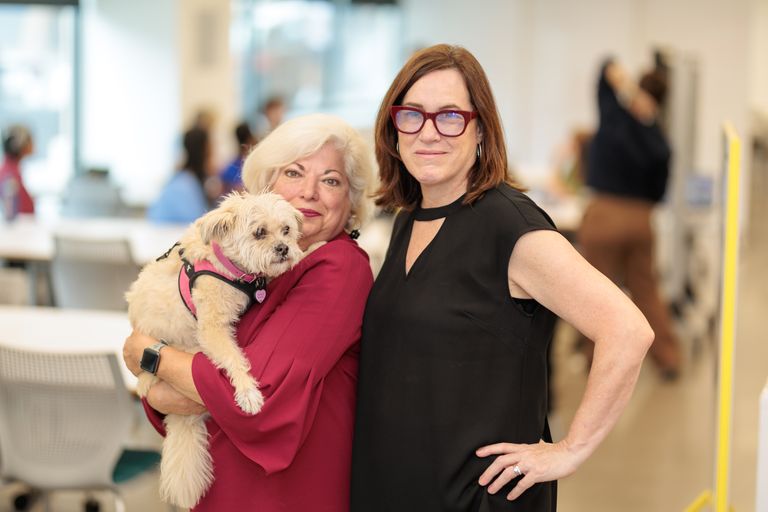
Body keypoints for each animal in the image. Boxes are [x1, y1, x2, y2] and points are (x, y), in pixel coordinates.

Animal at [126, 191, 304, 508]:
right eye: (260, 232)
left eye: (286, 230)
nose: (284, 248)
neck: (229, 265)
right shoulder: (212, 328)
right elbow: (234, 357)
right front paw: (248, 392)